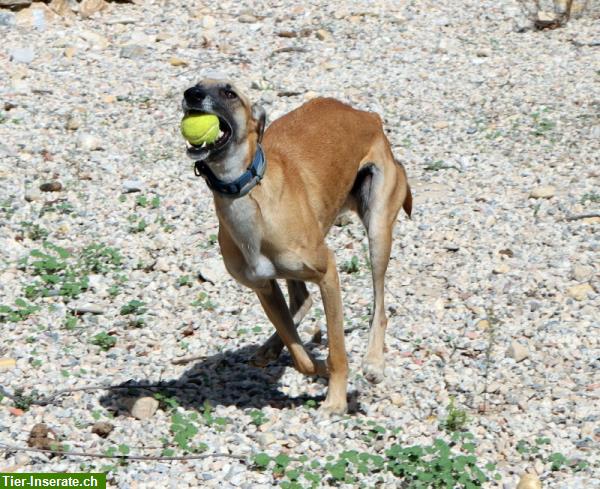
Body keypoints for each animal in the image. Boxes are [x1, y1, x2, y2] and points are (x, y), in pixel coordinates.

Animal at [180, 79, 410, 412]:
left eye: (229, 92)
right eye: (195, 84)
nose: (192, 95)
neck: (250, 196)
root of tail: (367, 115)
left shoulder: (328, 273)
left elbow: (337, 351)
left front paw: (336, 399)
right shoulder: (263, 287)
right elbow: (300, 354)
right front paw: (317, 368)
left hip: (378, 229)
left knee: (379, 306)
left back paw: (373, 363)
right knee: (302, 302)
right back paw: (270, 348)